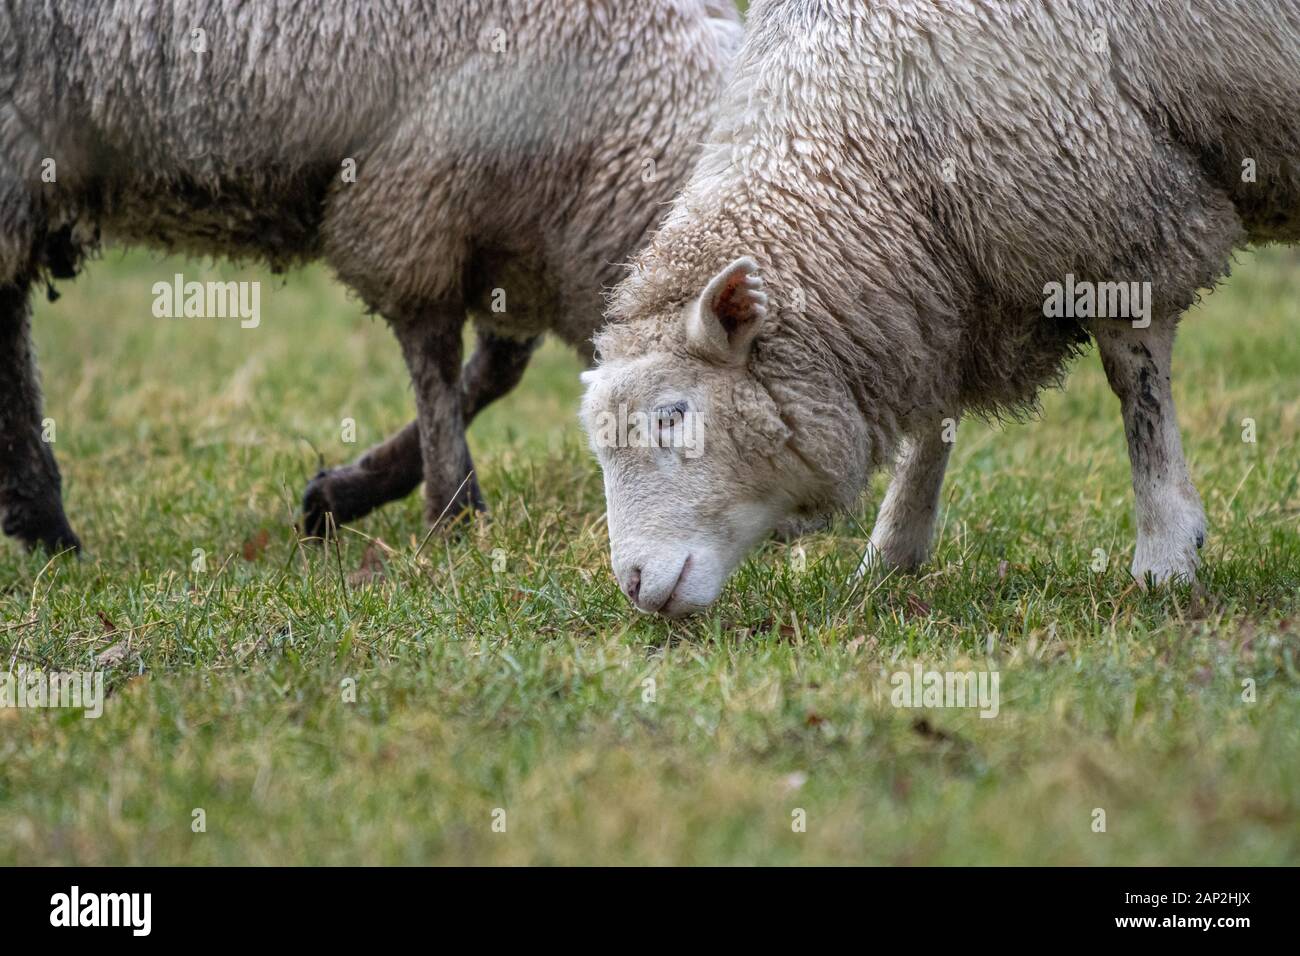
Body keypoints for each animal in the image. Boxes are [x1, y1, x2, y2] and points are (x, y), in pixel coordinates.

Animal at [0, 0, 742, 552]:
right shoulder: (415, 190)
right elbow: (435, 354)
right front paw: (454, 507)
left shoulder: (512, 238)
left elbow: (497, 369)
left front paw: (343, 493)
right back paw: (47, 524)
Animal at [579, 0, 1300, 617]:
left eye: (673, 416)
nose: (634, 585)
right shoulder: (941, 280)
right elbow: (931, 420)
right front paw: (889, 555)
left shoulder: (1120, 217)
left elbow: (1138, 393)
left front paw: (1166, 556)